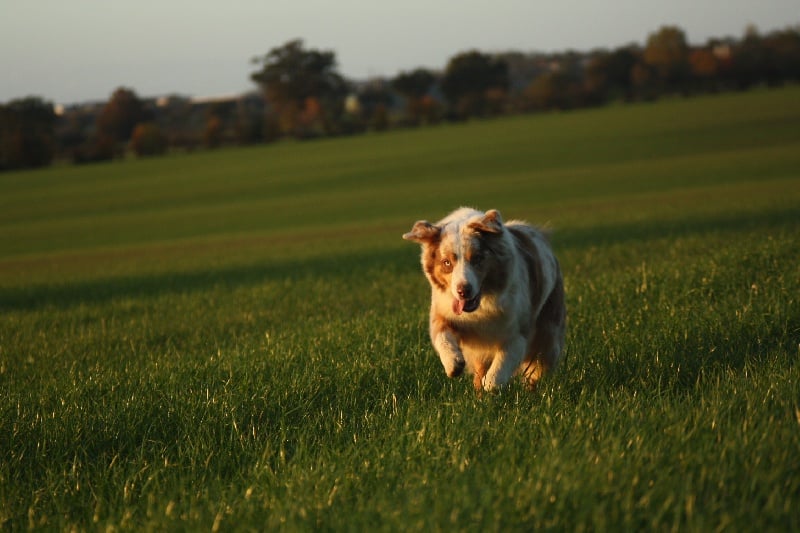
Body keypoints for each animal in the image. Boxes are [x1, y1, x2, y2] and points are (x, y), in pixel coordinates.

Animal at [404, 208, 564, 390]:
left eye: (477, 258)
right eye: (446, 263)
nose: (463, 291)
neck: (480, 308)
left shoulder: (517, 329)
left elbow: (505, 358)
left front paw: (492, 382)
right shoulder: (443, 311)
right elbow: (441, 335)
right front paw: (453, 363)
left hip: (549, 333)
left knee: (537, 366)